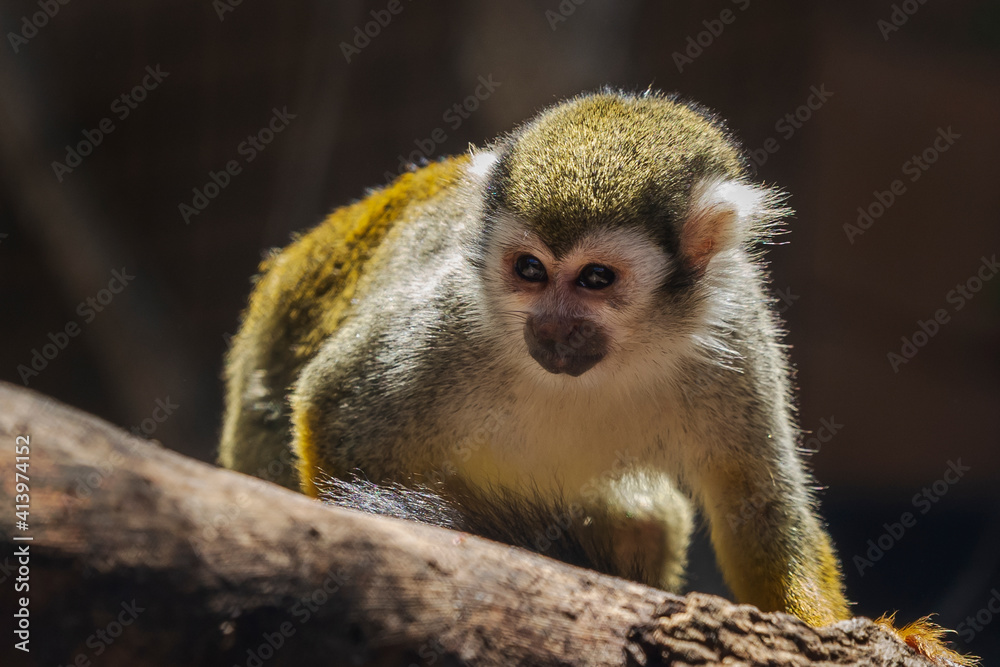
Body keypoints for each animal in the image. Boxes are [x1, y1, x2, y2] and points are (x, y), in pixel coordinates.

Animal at [221, 91, 852, 628]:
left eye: (596, 278)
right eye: (529, 269)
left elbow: (758, 500)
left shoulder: (733, 328)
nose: (550, 327)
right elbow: (334, 412)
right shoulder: (454, 315)